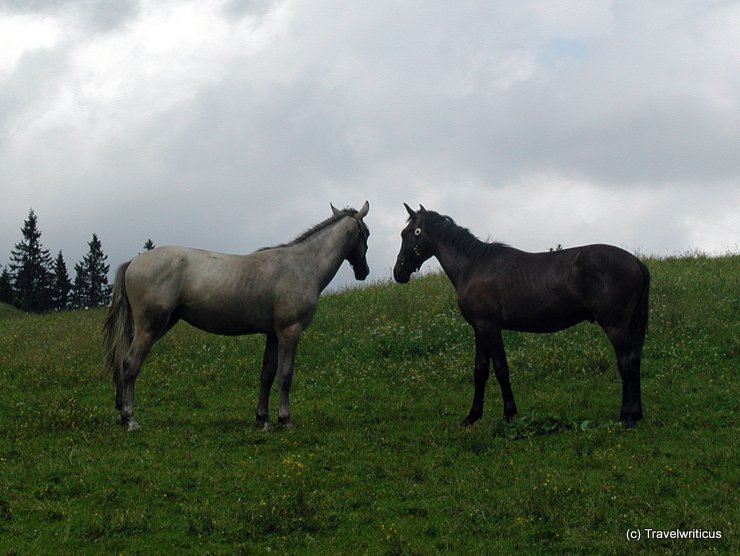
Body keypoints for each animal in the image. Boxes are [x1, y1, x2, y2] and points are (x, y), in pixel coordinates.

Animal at [104, 202, 370, 432]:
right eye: (366, 234)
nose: (364, 272)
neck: (301, 266)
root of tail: (133, 261)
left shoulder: (273, 334)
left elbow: (267, 375)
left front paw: (263, 419)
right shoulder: (289, 331)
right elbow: (285, 375)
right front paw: (285, 420)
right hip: (149, 328)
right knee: (130, 364)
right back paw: (130, 419)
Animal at [394, 203, 648, 426]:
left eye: (407, 233)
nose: (399, 272)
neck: (473, 265)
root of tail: (635, 261)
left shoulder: (490, 327)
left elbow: (500, 369)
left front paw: (508, 414)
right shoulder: (479, 328)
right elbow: (480, 371)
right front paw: (472, 417)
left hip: (614, 325)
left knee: (628, 361)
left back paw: (630, 417)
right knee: (627, 361)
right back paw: (627, 414)